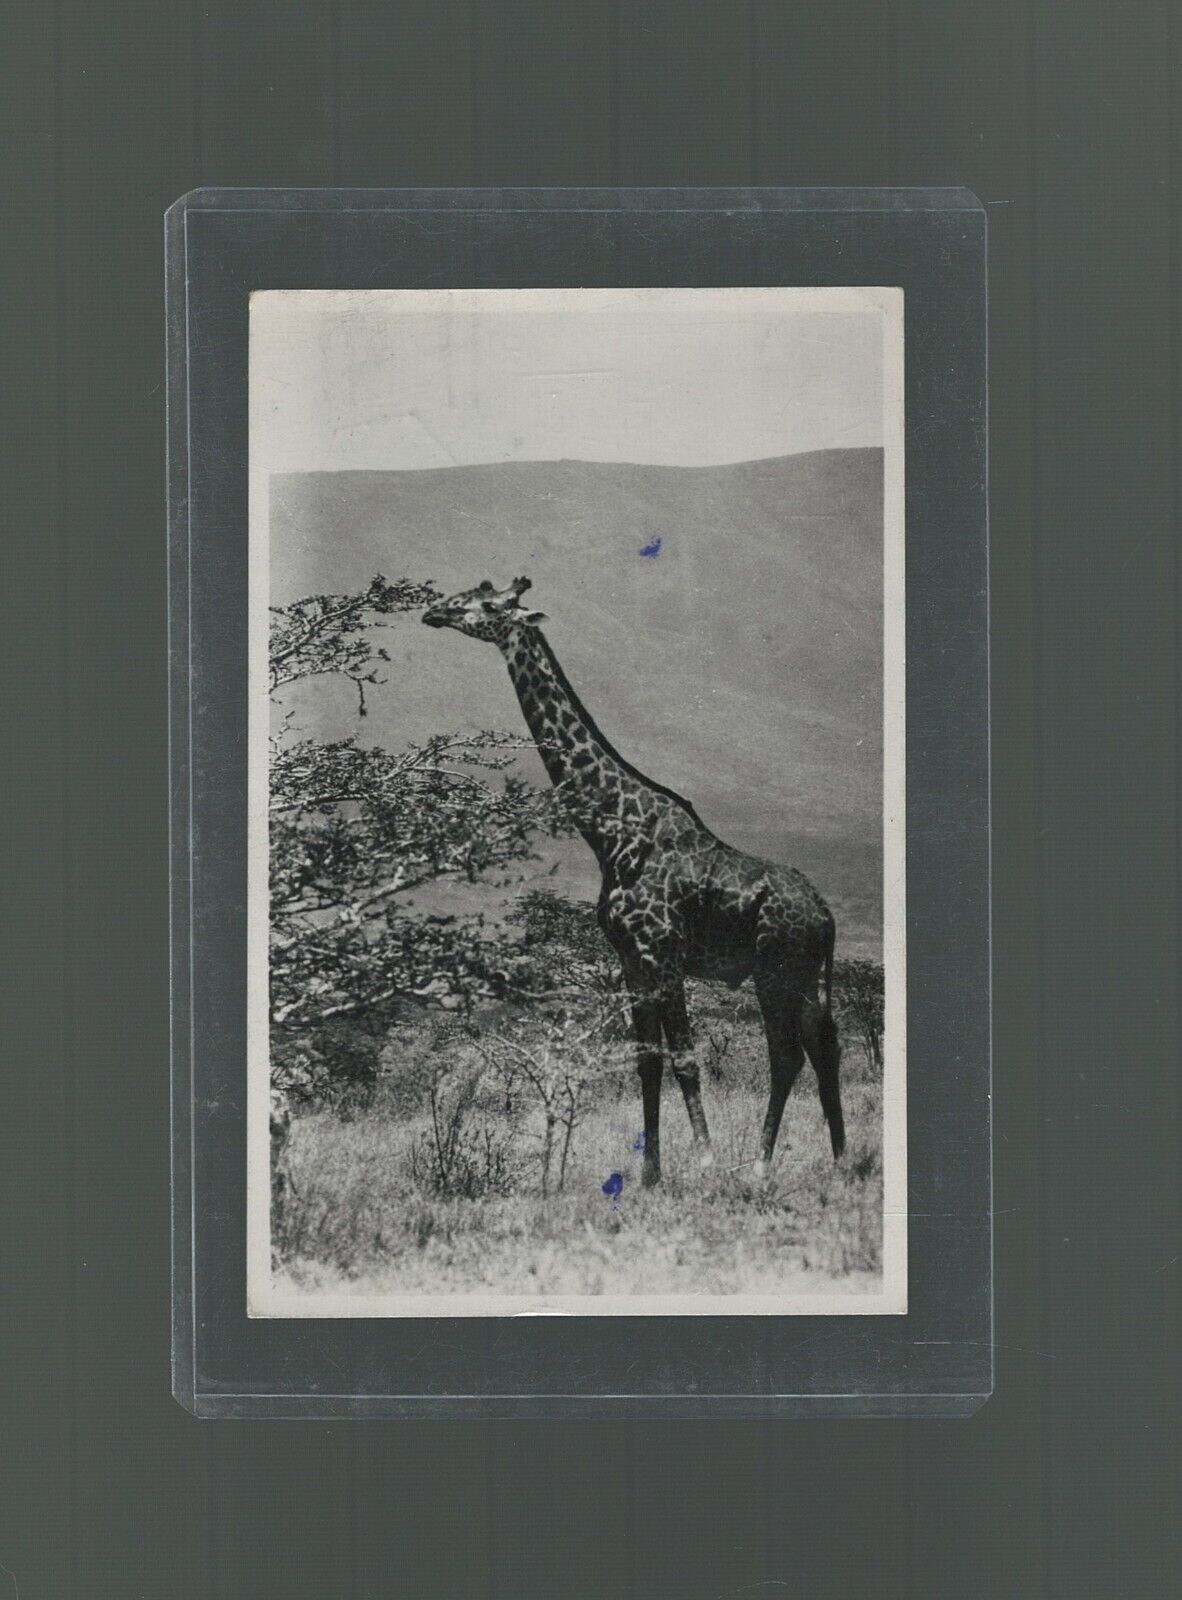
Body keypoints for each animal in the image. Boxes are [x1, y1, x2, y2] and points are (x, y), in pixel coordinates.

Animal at [423, 577, 845, 1185]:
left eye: (488, 604)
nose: (433, 611)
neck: (612, 834)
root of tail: (826, 916)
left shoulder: (662, 954)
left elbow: (686, 1059)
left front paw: (706, 1163)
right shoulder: (629, 961)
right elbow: (647, 1062)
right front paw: (650, 1175)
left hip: (775, 970)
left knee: (786, 1055)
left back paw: (758, 1167)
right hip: (805, 973)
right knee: (824, 1045)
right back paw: (841, 1158)